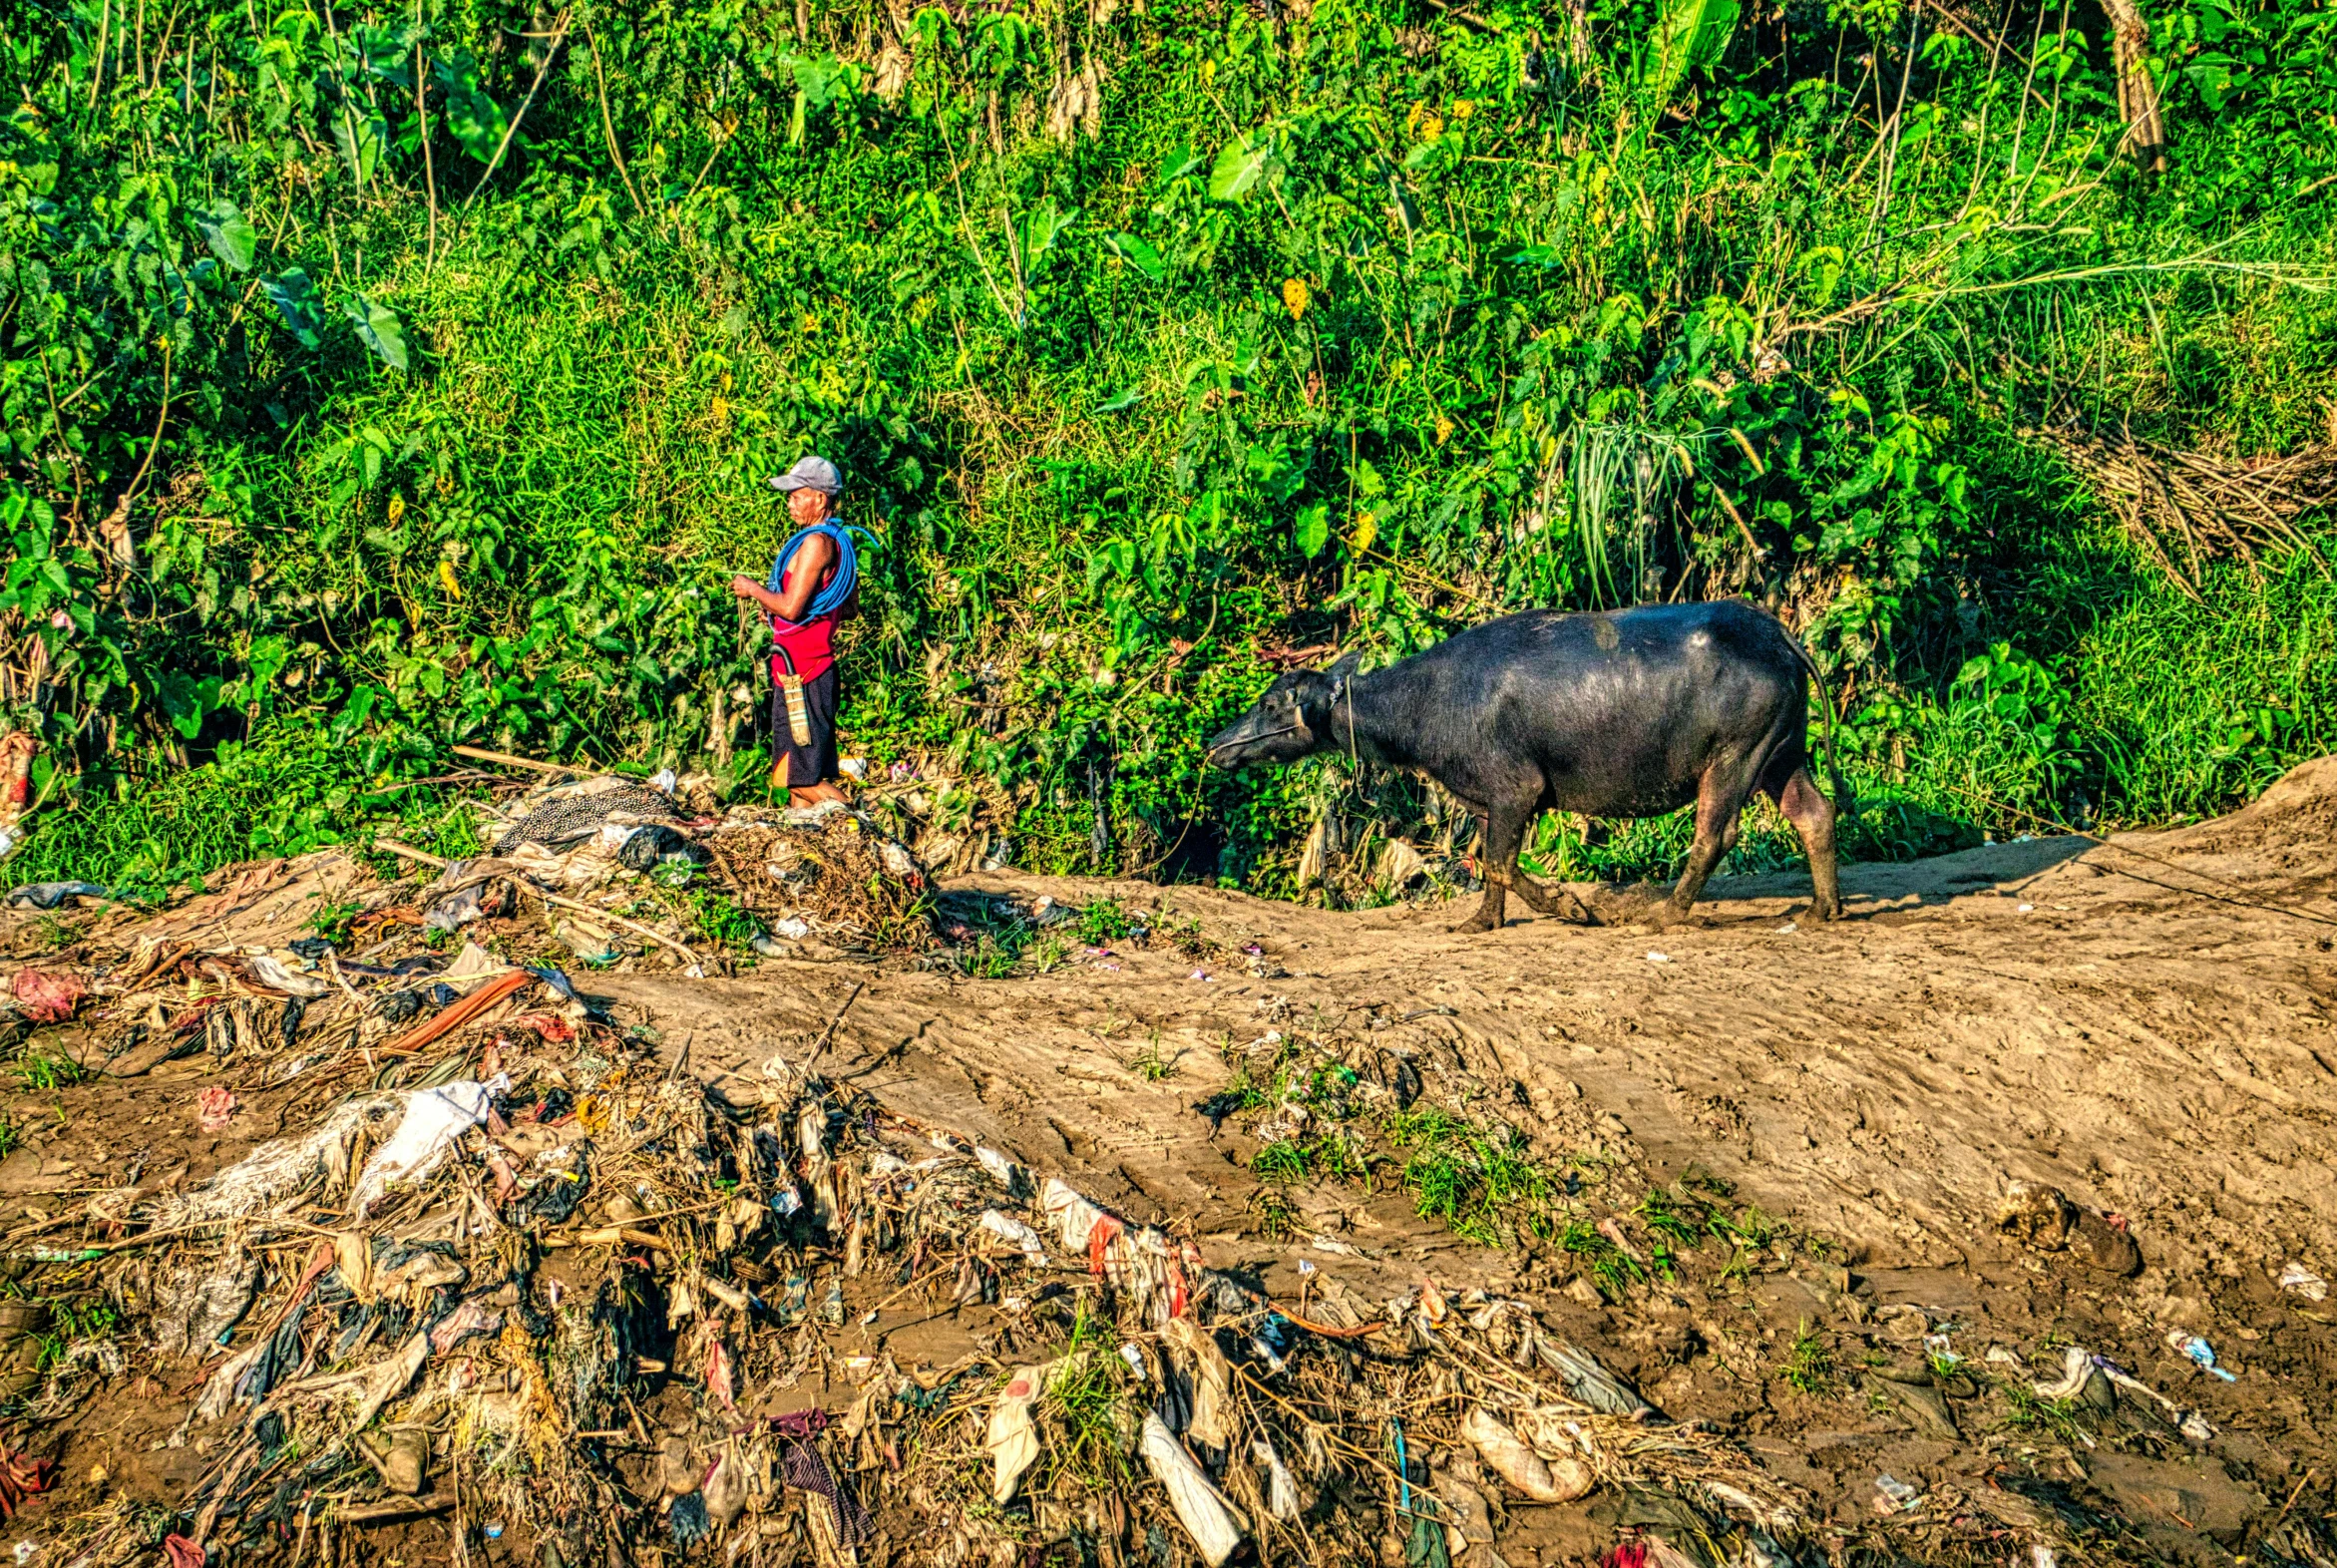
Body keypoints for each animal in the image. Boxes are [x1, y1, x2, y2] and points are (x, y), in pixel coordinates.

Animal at [1205, 602, 1841, 935]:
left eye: (1270, 704)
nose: (1215, 745)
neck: (1428, 702)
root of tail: (1777, 634)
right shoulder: (1491, 799)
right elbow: (1492, 865)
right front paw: (1481, 922)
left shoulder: (1517, 789)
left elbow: (1501, 865)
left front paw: (1571, 908)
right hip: (1781, 752)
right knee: (1815, 813)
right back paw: (1822, 908)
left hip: (1734, 757)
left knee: (1715, 834)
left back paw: (1667, 912)